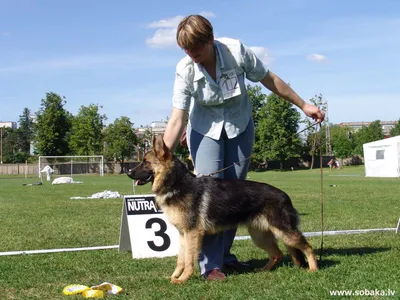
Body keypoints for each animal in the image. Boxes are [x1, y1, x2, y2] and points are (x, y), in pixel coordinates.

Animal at [128, 134, 318, 284]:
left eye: (145, 163)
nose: (128, 172)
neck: (177, 184)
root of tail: (285, 196)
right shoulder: (183, 234)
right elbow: (180, 260)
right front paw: (175, 277)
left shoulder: (192, 234)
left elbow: (189, 260)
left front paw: (183, 279)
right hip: (260, 236)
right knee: (278, 254)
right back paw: (263, 271)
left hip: (283, 233)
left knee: (308, 246)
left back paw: (313, 269)